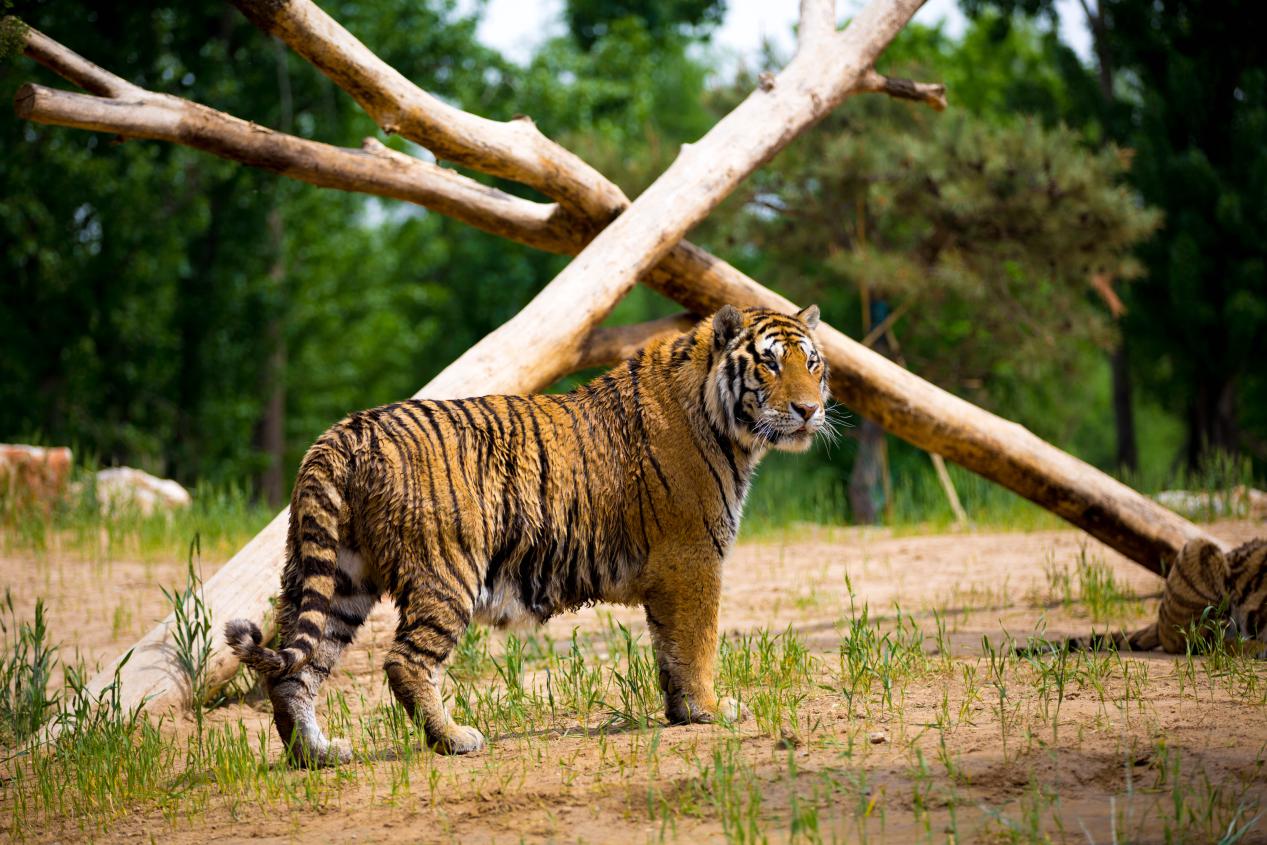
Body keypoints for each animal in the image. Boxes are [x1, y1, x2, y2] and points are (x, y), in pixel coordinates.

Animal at [228, 304, 831, 765]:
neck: (726, 426)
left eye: (812, 363)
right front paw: (711, 710)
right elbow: (699, 642)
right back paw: (454, 739)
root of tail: (343, 432)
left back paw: (315, 755)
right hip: (447, 571)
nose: (810, 409)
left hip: (337, 576)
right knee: (404, 661)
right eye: (770, 364)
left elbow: (672, 648)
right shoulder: (694, 557)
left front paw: (684, 712)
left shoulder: (675, 572)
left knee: (294, 668)